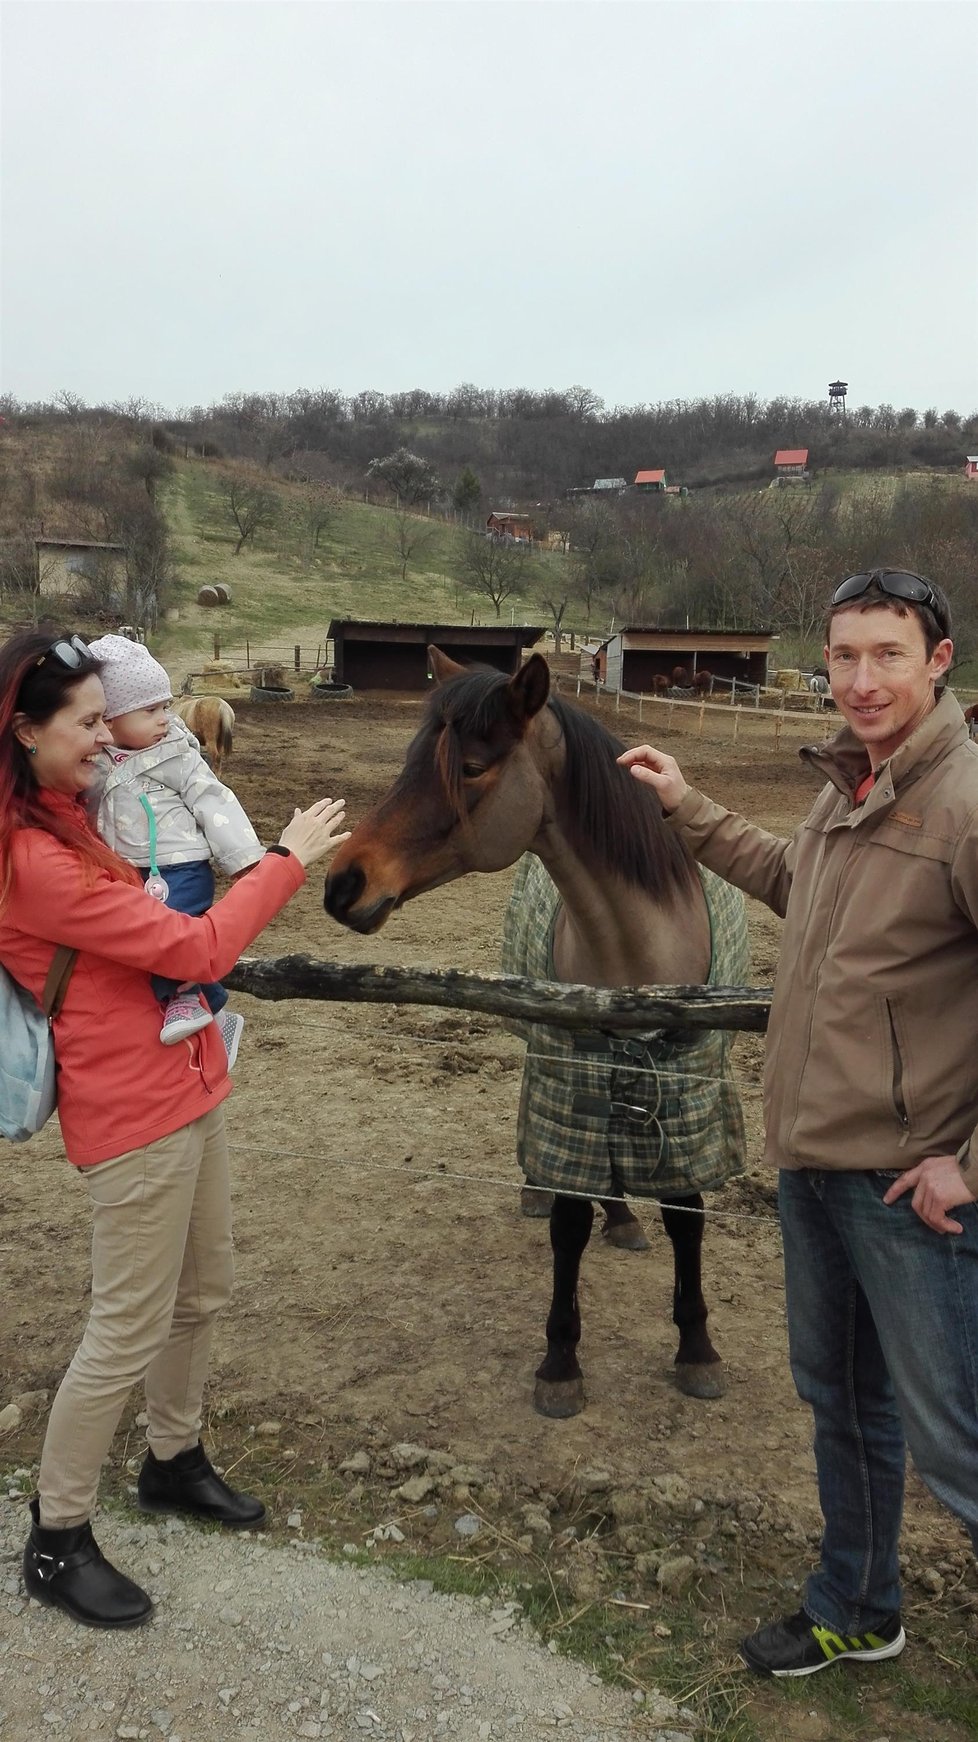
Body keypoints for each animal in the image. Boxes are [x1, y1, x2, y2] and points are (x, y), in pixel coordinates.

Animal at [324, 648, 742, 1421]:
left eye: (472, 766)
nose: (342, 883)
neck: (638, 957)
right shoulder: (569, 1068)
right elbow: (569, 1223)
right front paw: (561, 1359)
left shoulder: (690, 1089)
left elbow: (687, 1212)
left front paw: (697, 1347)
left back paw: (624, 1220)